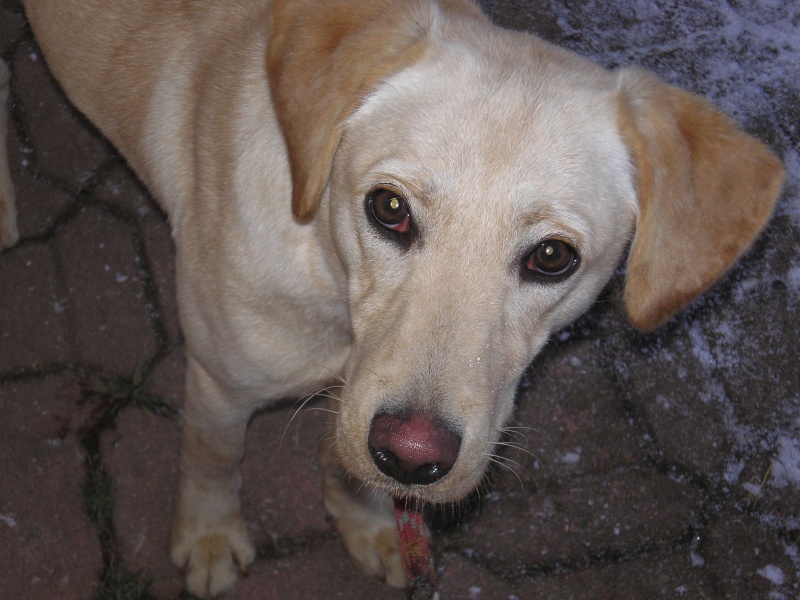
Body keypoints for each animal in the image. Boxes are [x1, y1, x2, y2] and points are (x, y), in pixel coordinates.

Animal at [3, 0, 784, 596]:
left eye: (552, 257)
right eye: (389, 209)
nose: (411, 458)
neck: (328, 274)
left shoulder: (356, 397)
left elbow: (346, 459)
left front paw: (368, 521)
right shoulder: (219, 384)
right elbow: (212, 459)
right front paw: (209, 536)